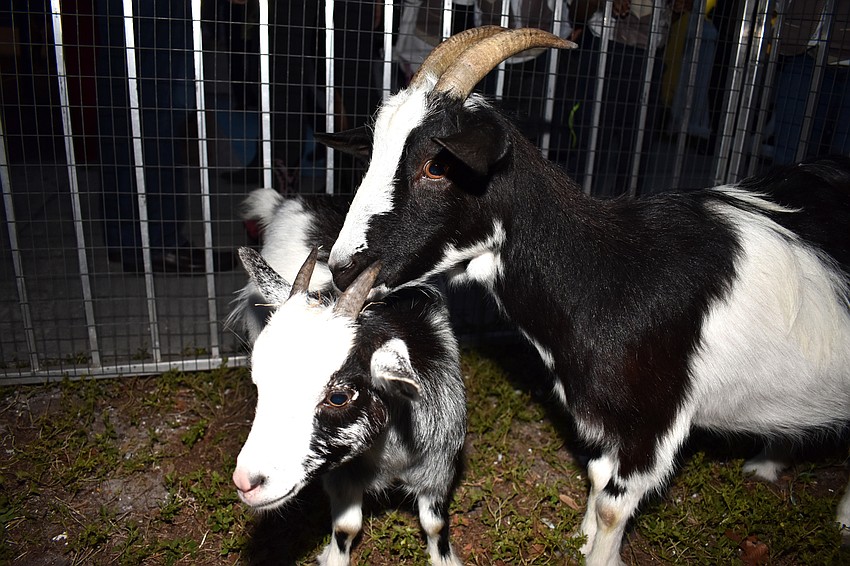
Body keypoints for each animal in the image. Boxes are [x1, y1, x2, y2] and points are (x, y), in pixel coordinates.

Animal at [229, 194, 466, 565]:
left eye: (338, 397)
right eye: (259, 384)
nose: (247, 482)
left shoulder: (438, 469)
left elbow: (434, 525)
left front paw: (443, 558)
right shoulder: (341, 476)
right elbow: (346, 527)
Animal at [316, 26, 850, 566]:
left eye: (436, 166)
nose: (342, 268)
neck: (609, 272)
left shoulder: (654, 421)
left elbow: (616, 504)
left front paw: (600, 551)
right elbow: (595, 475)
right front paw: (583, 537)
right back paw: (769, 465)